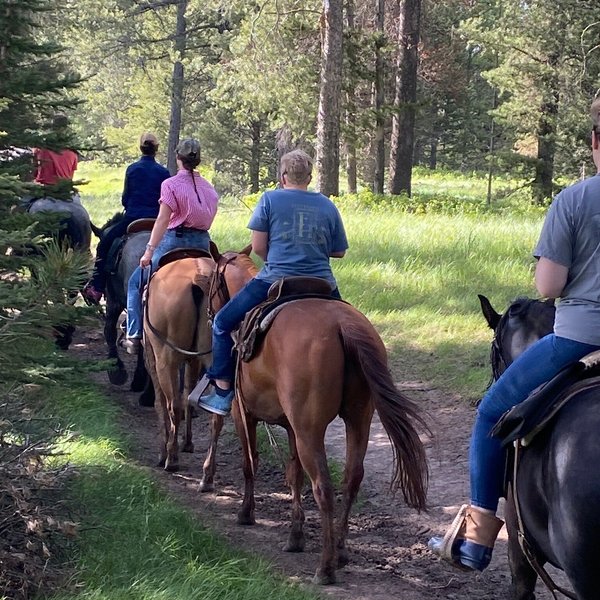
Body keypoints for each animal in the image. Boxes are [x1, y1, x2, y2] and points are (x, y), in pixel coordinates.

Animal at [144, 253, 223, 482]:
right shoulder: (194, 361)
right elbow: (189, 395)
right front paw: (188, 443)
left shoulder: (152, 356)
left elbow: (161, 402)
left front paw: (163, 452)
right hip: (213, 358)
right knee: (216, 415)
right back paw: (207, 474)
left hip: (166, 358)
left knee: (174, 405)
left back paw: (171, 458)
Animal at [209, 246, 428, 584]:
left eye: (208, 281)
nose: (209, 314)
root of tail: (341, 326)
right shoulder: (290, 427)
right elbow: (294, 474)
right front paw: (295, 536)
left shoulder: (243, 413)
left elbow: (250, 464)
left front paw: (246, 513)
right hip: (357, 421)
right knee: (351, 479)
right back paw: (339, 551)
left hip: (310, 429)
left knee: (323, 486)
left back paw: (325, 568)